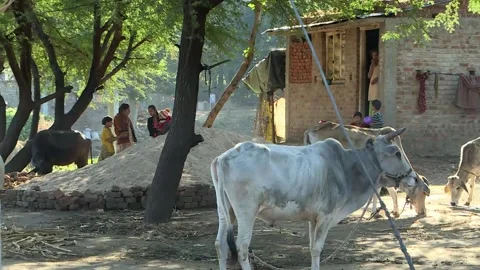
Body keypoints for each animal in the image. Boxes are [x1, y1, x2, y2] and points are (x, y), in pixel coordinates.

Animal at [212, 127, 422, 268]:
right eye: (397, 153)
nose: (413, 178)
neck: (346, 167)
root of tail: (222, 158)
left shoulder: (313, 219)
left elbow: (312, 247)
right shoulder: (325, 217)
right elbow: (317, 249)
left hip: (225, 211)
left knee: (221, 245)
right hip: (246, 213)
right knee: (242, 248)